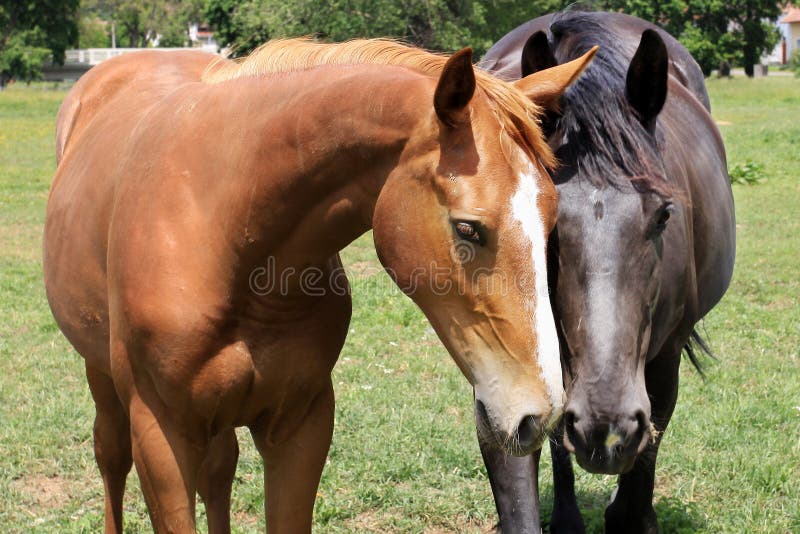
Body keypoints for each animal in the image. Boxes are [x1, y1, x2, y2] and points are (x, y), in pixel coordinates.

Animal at [43, 39, 592, 532]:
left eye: (552, 221)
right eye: (468, 228)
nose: (538, 414)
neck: (225, 236)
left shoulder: (301, 426)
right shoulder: (162, 434)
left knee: (218, 472)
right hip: (104, 380)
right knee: (111, 455)